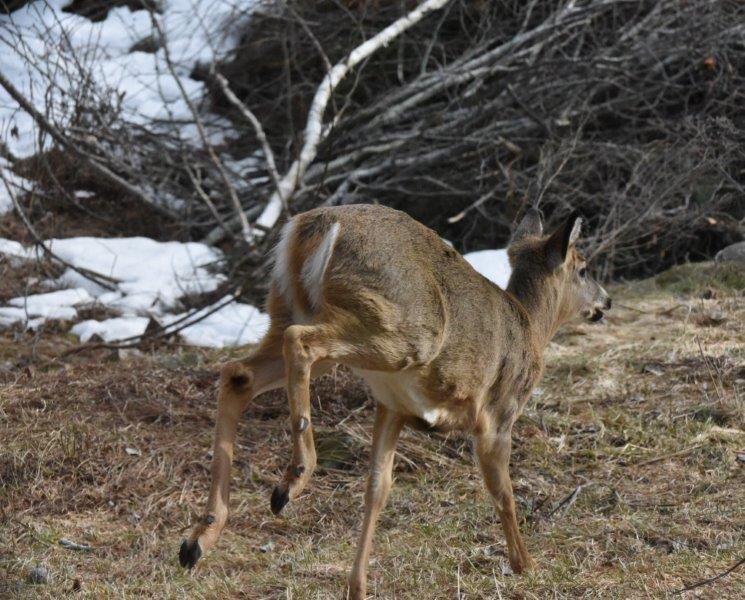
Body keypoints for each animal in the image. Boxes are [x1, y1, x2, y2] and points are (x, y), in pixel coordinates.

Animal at [178, 204, 611, 599]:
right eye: (584, 268)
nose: (605, 302)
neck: (532, 329)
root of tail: (318, 225)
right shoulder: (498, 414)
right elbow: (502, 492)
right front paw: (525, 564)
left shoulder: (394, 407)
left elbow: (377, 488)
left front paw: (357, 586)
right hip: (398, 329)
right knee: (299, 343)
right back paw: (294, 477)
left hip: (291, 307)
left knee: (239, 373)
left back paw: (199, 538)